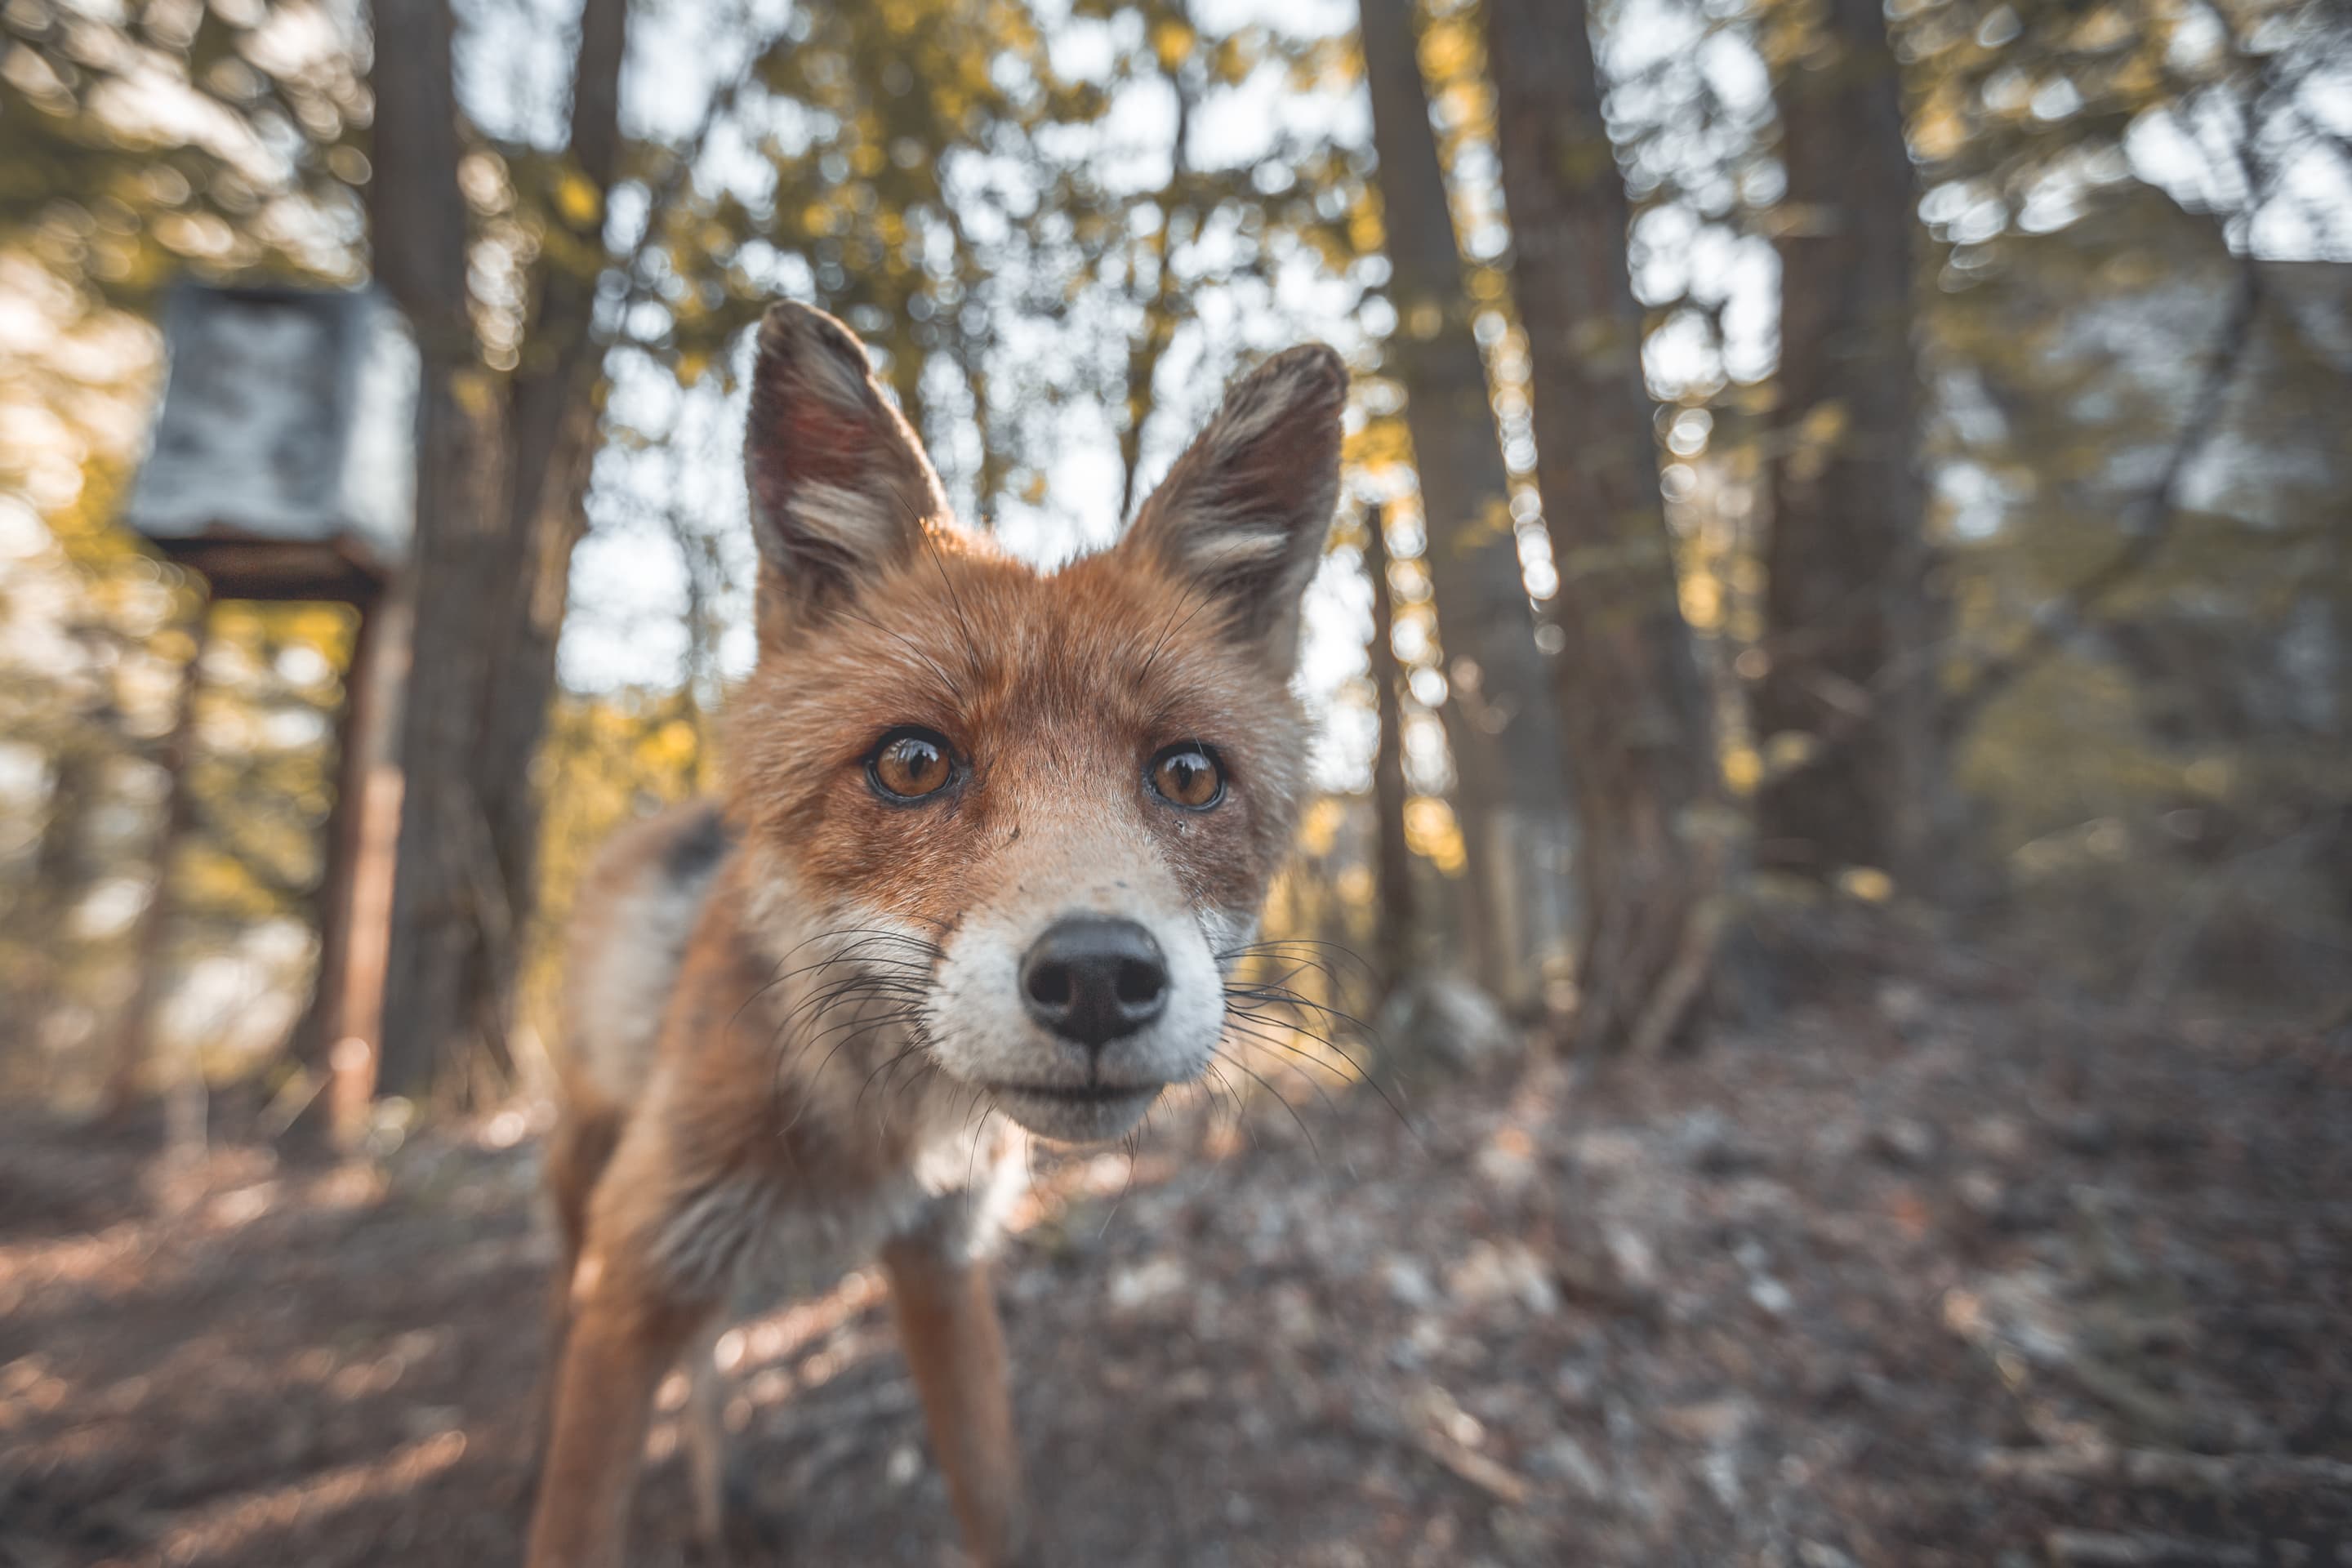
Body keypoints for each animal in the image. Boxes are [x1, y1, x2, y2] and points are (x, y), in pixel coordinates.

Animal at [524, 300, 1345, 1568]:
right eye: (912, 764)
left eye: (1190, 775)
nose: (1100, 978)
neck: (871, 1142)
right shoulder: (644, 1261)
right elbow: (578, 1504)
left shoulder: (941, 1264)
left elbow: (996, 1509)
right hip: (590, 1175)